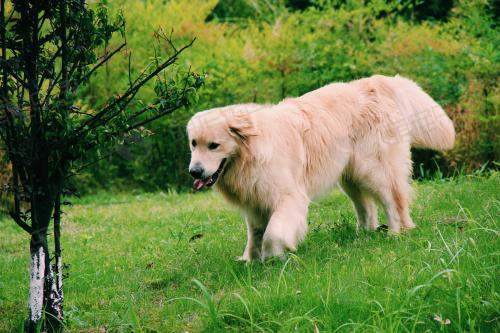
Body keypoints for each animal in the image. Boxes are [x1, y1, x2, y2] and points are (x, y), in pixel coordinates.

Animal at [186, 74, 456, 260]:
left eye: (214, 145)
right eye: (193, 143)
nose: (194, 172)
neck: (250, 151)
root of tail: (373, 82)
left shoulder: (288, 196)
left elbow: (273, 233)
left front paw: (275, 256)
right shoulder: (254, 201)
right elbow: (255, 234)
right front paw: (250, 261)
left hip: (372, 169)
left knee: (393, 200)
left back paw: (396, 232)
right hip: (349, 177)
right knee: (367, 208)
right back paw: (362, 236)